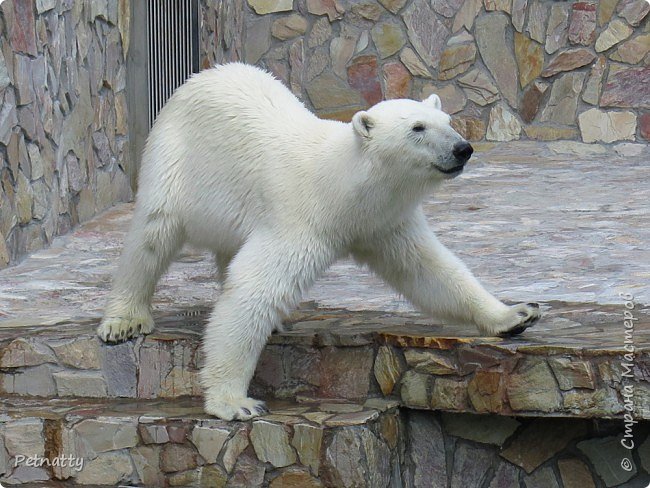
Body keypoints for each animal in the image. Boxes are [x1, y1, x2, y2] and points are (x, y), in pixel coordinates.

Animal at [97, 63, 536, 422]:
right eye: (417, 128)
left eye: (447, 120)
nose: (463, 148)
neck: (341, 185)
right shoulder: (301, 218)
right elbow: (255, 288)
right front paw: (234, 402)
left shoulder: (382, 222)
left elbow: (429, 269)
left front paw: (515, 315)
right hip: (176, 159)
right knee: (152, 236)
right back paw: (123, 320)